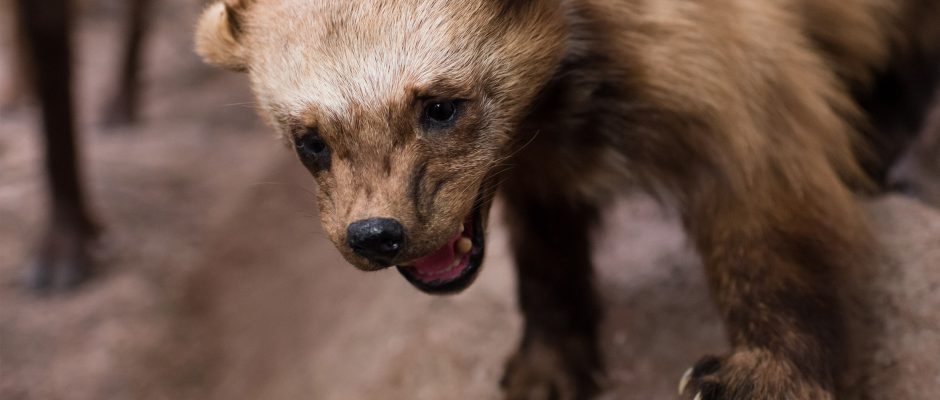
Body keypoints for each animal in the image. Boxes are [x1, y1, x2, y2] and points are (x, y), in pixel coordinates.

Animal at [195, 0, 940, 398]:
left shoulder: (744, 97)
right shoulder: (539, 178)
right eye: (309, 140)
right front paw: (546, 368)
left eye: (440, 105)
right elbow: (547, 268)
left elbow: (775, 251)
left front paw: (761, 376)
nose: (376, 232)